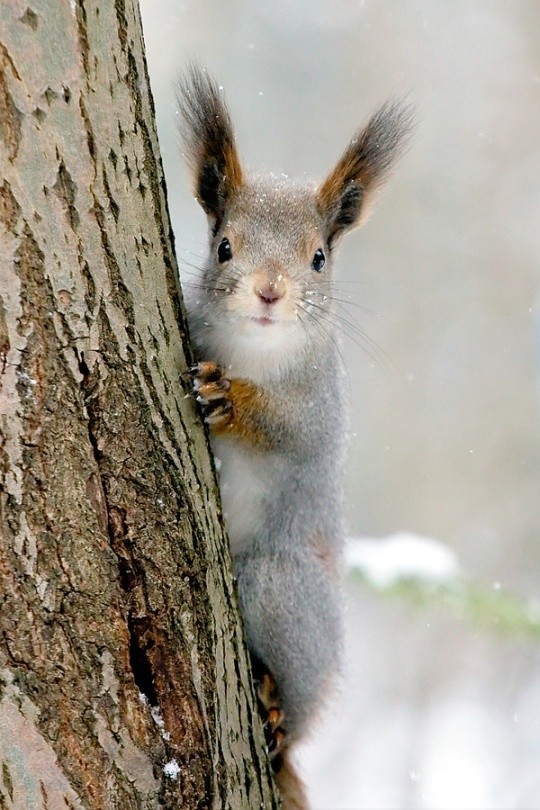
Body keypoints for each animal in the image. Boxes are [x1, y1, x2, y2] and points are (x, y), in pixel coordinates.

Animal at [178, 66, 414, 804]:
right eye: (224, 245)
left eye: (317, 258)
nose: (269, 292)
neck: (253, 350)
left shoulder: (322, 407)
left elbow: (292, 431)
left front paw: (231, 398)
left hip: (281, 588)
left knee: (301, 707)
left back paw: (278, 704)